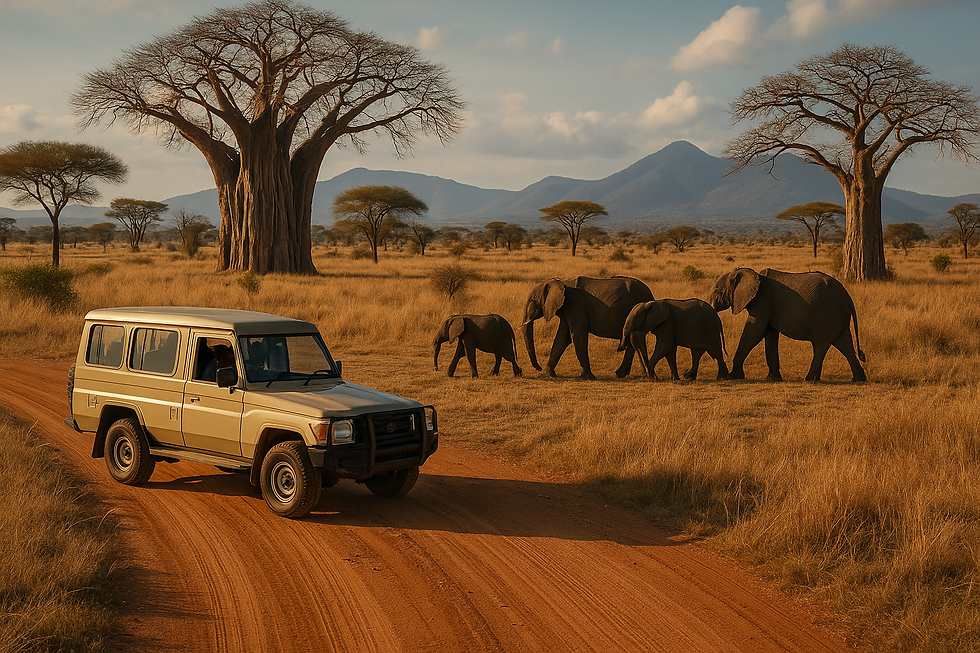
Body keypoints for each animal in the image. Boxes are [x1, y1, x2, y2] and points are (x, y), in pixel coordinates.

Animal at [522, 276, 654, 380]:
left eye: (533, 300)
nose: (538, 368)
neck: (561, 282)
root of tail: (651, 294)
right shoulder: (567, 309)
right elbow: (562, 338)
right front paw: (549, 374)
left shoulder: (575, 305)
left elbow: (576, 335)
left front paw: (588, 377)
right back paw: (621, 374)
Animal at [707, 268, 866, 382]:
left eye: (717, 292)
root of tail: (847, 296)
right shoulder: (769, 305)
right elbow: (770, 336)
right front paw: (772, 379)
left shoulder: (763, 301)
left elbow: (754, 332)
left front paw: (732, 376)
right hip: (837, 317)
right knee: (845, 344)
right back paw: (859, 379)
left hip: (828, 314)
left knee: (821, 345)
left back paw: (810, 380)